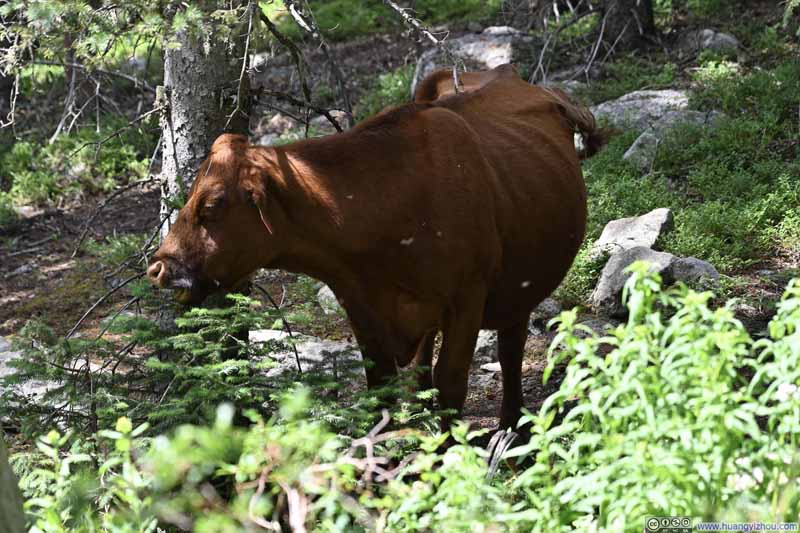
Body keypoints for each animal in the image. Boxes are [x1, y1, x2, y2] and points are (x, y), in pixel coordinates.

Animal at [147, 64, 607, 430]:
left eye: (211, 204)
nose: (160, 266)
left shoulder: (467, 299)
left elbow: (451, 383)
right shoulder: (361, 306)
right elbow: (383, 386)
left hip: (518, 286)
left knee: (511, 349)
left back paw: (512, 429)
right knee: (426, 366)